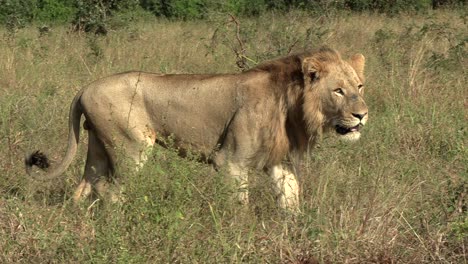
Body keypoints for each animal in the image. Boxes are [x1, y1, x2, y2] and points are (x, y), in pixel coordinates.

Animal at [24, 46, 370, 209]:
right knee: (109, 189)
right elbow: (239, 204)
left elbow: (290, 198)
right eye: (338, 91)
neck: (292, 104)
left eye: (359, 86)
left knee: (86, 185)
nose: (362, 115)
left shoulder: (279, 161)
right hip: (132, 147)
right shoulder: (230, 161)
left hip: (97, 146)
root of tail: (85, 87)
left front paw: (296, 230)